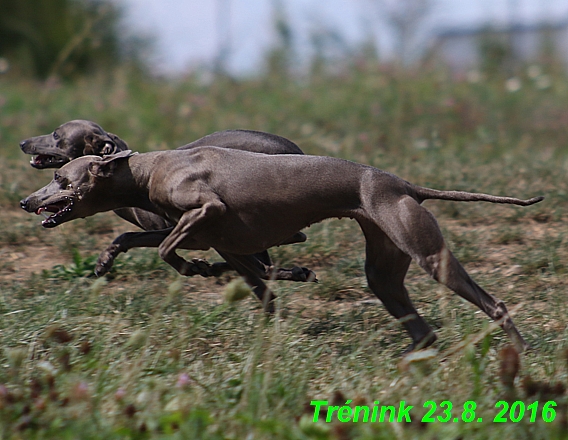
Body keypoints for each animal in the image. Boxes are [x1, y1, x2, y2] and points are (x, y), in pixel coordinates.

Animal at [18, 148, 540, 350]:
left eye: (61, 178)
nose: (25, 201)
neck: (147, 169)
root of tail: (402, 184)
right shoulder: (216, 237)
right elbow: (133, 238)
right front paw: (106, 261)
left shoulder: (205, 211)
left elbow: (169, 250)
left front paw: (196, 268)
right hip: (384, 271)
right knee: (422, 328)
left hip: (427, 254)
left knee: (493, 303)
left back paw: (516, 353)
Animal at [21, 120, 316, 284]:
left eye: (56, 135)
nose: (23, 142)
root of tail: (298, 151)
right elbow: (128, 237)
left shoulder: (186, 228)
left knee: (287, 240)